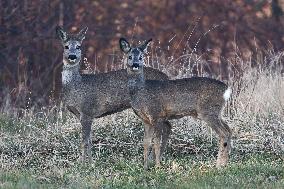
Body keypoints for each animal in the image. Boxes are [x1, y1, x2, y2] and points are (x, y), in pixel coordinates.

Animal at [56, 26, 171, 162]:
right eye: (66, 46)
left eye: (78, 46)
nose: (72, 56)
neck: (75, 85)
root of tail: (167, 77)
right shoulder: (82, 115)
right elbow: (89, 141)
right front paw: (90, 162)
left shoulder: (87, 111)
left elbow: (84, 142)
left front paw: (83, 163)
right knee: (167, 126)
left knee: (165, 126)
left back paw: (153, 158)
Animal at [118, 37, 232, 169]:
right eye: (130, 56)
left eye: (141, 57)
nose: (136, 65)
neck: (141, 91)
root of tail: (226, 90)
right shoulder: (146, 120)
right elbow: (146, 143)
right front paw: (145, 167)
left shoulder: (156, 115)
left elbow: (156, 142)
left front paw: (157, 166)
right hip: (217, 112)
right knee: (229, 130)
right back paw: (224, 163)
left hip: (208, 111)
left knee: (224, 133)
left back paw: (218, 165)